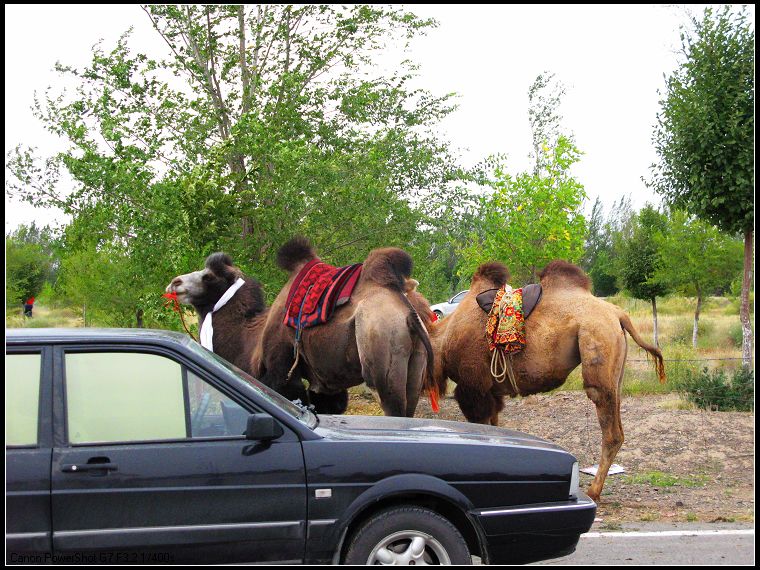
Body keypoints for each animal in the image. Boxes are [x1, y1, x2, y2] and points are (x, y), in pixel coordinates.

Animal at [424, 260, 664, 500]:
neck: (444, 340)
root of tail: (618, 314)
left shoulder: (474, 386)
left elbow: (481, 427)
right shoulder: (491, 391)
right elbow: (495, 427)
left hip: (597, 339)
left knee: (609, 426)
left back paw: (594, 491)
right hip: (616, 370)